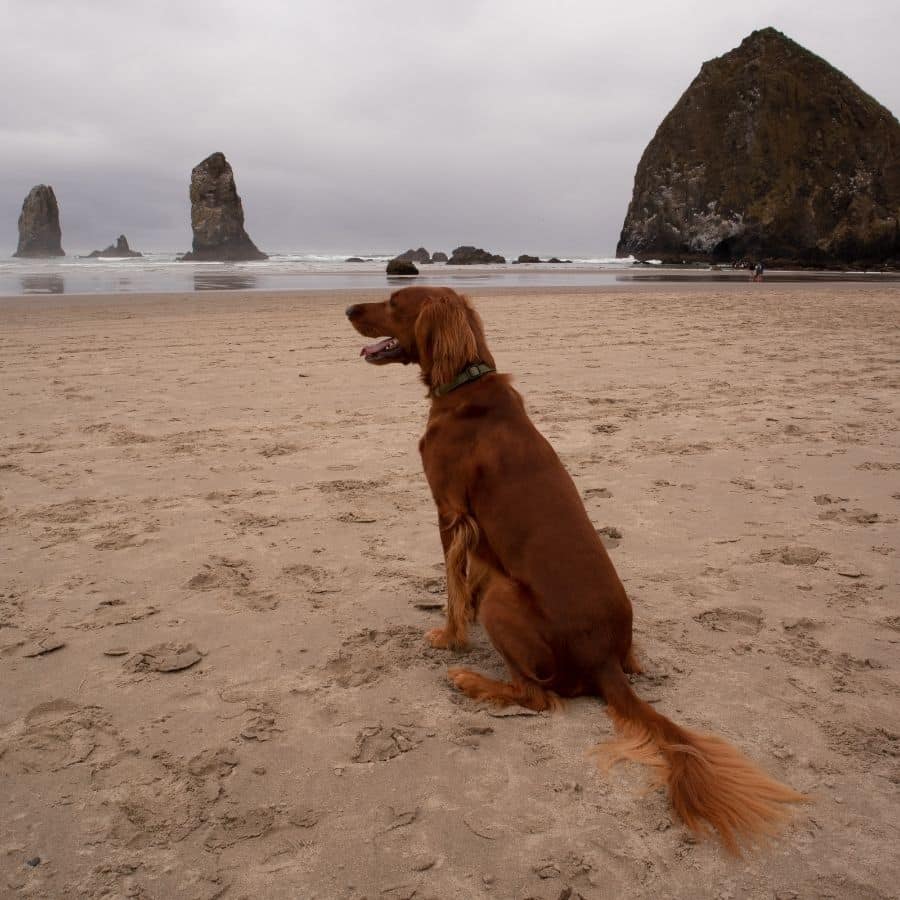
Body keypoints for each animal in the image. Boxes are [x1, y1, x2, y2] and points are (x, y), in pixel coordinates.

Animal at [348, 286, 804, 852]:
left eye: (394, 301)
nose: (348, 310)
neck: (465, 384)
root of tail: (604, 659)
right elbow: (464, 583)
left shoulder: (450, 512)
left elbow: (454, 586)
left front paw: (450, 636)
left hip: (505, 599)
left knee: (536, 697)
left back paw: (470, 679)